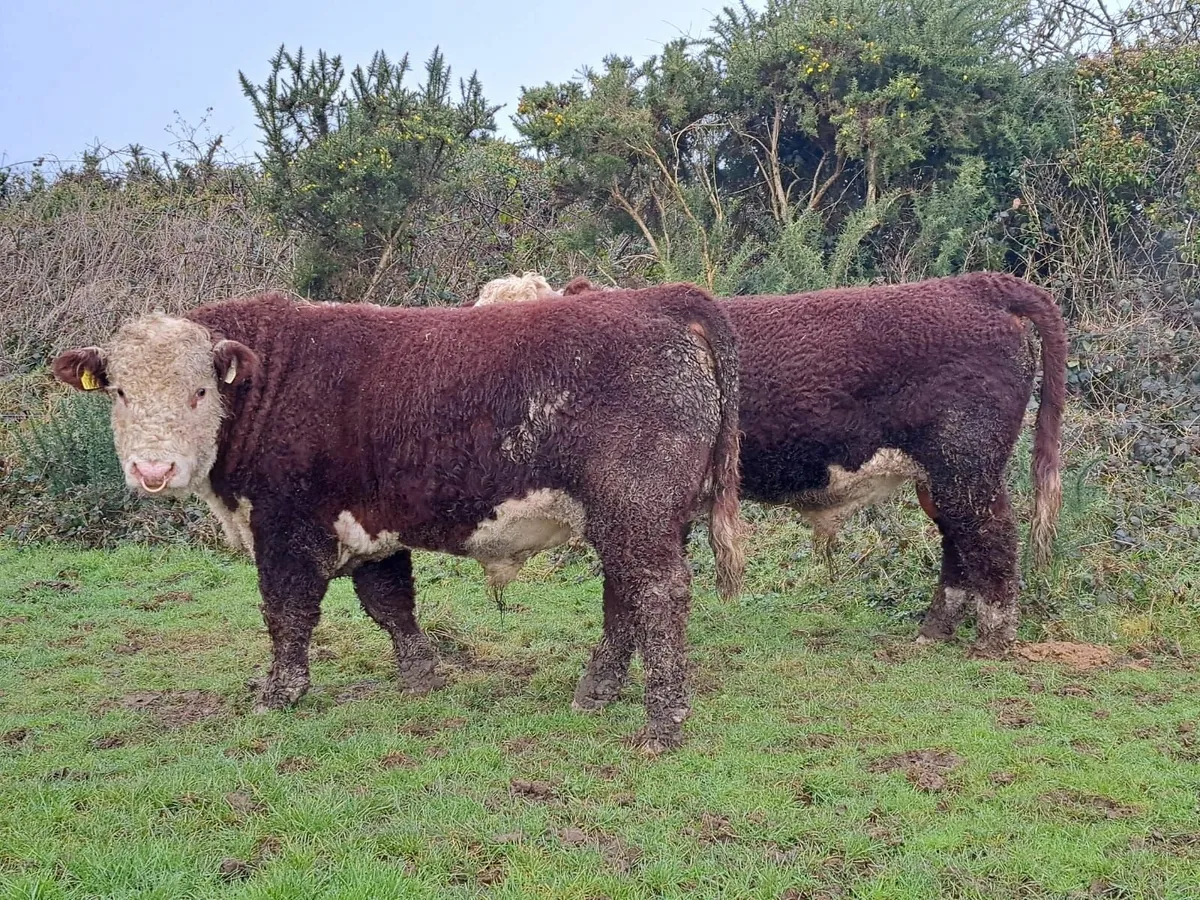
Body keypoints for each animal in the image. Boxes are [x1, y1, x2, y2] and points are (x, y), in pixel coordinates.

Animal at [51, 287, 745, 753]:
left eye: (199, 392)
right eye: (119, 392)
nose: (153, 469)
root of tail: (661, 298)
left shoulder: (287, 527)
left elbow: (287, 613)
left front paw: (279, 693)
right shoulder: (370, 523)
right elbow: (388, 601)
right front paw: (421, 674)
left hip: (636, 507)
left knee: (658, 593)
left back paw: (662, 724)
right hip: (640, 515)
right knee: (624, 596)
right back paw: (596, 690)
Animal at [510, 272, 1068, 659]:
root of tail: (979, 284)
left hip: (966, 463)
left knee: (992, 536)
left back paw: (992, 642)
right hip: (944, 475)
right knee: (959, 540)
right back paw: (932, 634)